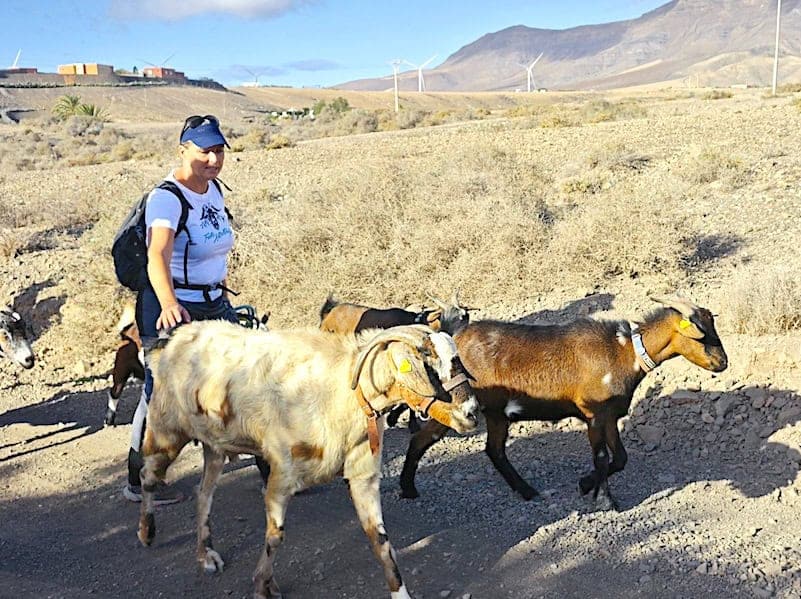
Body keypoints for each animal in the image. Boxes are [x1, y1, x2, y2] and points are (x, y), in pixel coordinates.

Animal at [138, 324, 478, 599]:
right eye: (428, 364)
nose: (472, 413)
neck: (340, 390)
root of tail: (172, 342)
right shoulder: (281, 474)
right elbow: (276, 535)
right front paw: (262, 585)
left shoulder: (363, 475)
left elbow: (380, 540)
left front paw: (401, 592)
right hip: (166, 429)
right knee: (148, 475)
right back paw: (146, 532)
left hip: (214, 445)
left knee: (204, 495)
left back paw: (206, 554)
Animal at [396, 296, 728, 510]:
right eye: (700, 335)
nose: (722, 362)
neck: (624, 351)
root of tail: (455, 339)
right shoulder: (593, 414)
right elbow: (602, 458)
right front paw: (605, 500)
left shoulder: (610, 416)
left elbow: (620, 458)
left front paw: (585, 484)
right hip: (458, 408)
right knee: (424, 440)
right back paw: (409, 489)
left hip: (495, 414)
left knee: (493, 450)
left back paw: (526, 491)